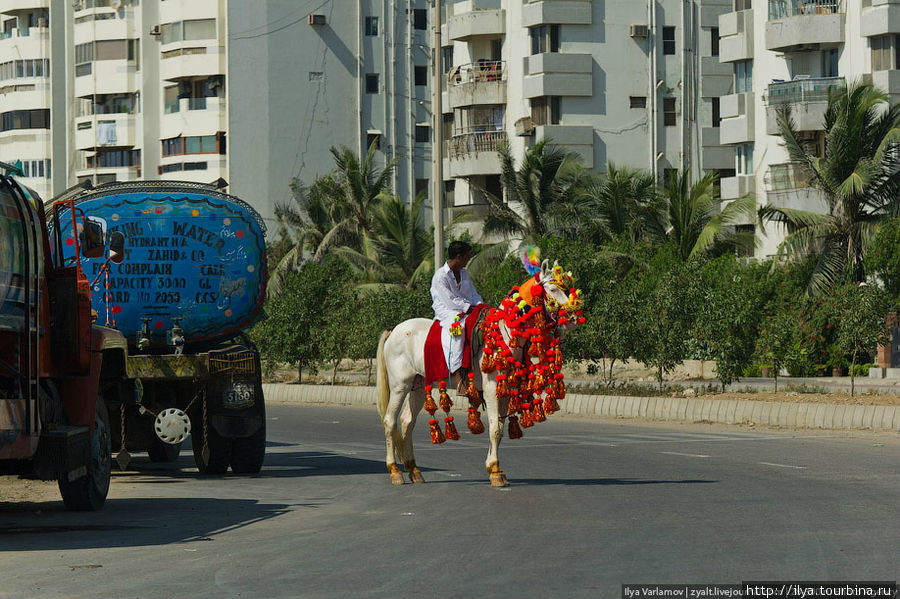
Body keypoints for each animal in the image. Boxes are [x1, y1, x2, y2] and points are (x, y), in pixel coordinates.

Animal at [372, 253, 584, 488]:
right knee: (390, 421)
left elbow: (499, 427)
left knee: (407, 422)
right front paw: (495, 471)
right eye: (553, 290)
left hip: (418, 386)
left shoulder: (505, 390)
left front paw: (494, 469)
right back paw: (394, 470)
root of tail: (394, 331)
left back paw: (413, 469)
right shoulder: (491, 388)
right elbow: (494, 427)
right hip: (400, 386)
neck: (504, 333)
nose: (573, 319)